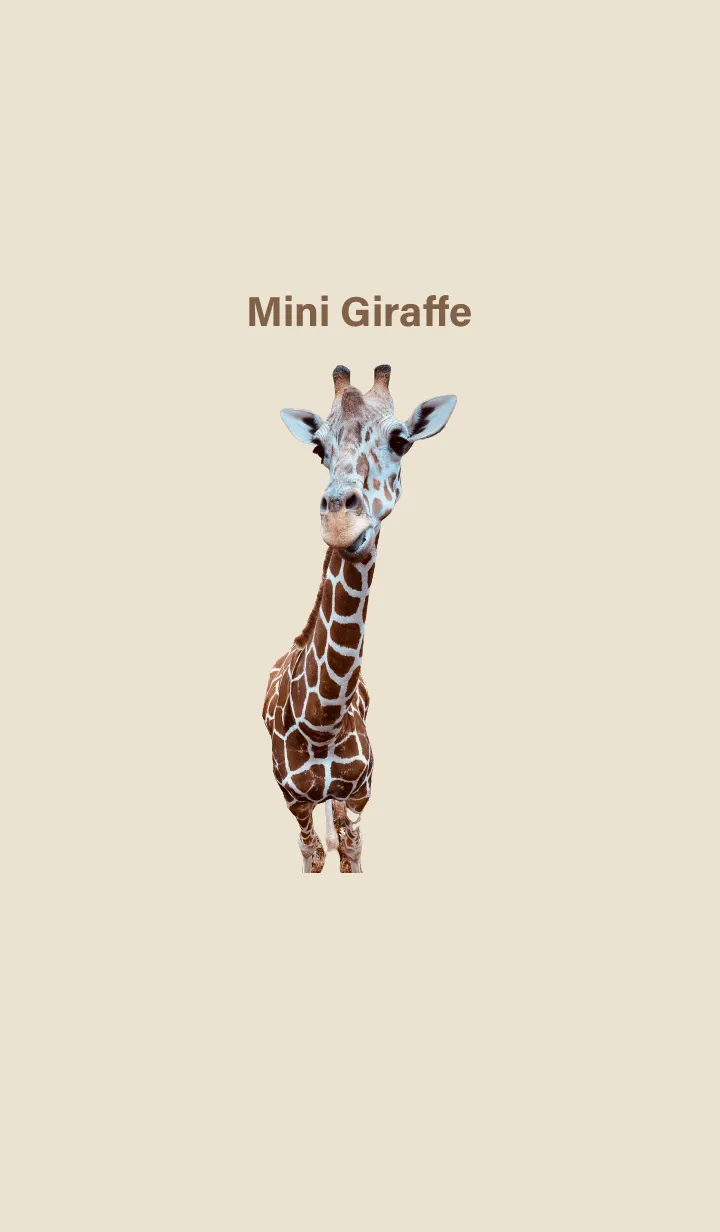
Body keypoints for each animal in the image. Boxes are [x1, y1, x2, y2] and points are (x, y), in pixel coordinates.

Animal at [262, 364, 456, 873]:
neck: (322, 721)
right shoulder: (293, 800)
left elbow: (352, 846)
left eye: (401, 440)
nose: (339, 522)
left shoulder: (362, 791)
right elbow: (311, 852)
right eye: (318, 448)